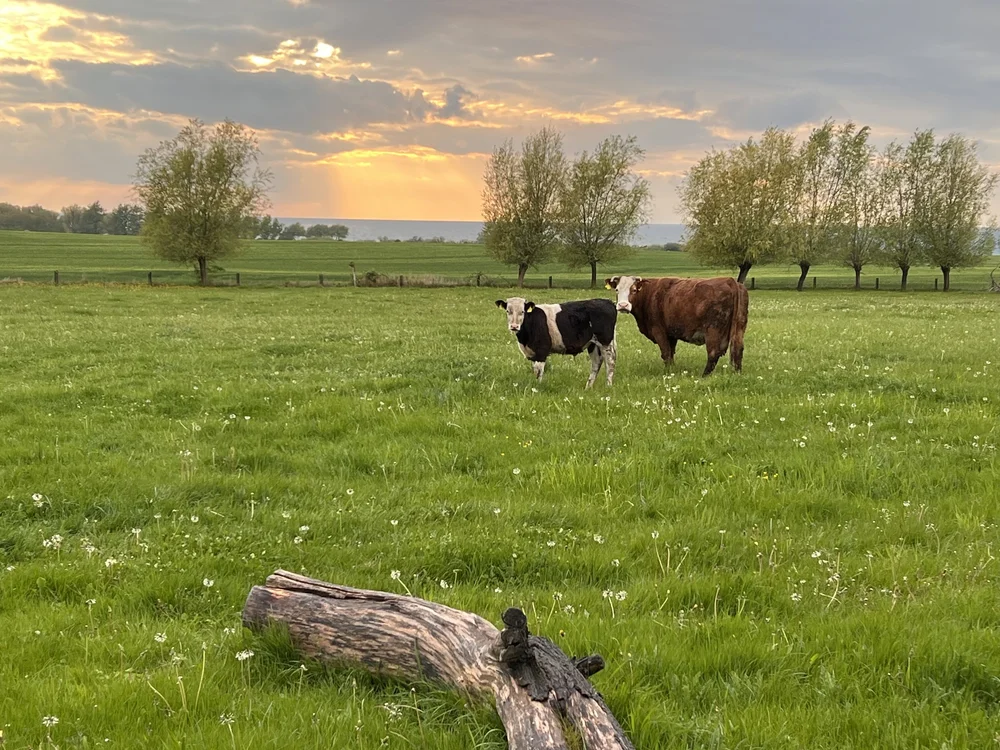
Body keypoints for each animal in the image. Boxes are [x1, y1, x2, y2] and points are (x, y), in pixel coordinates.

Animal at [605, 275, 748, 376]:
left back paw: (704, 376)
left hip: (713, 330)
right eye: (617, 290)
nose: (623, 305)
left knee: (713, 353)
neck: (649, 294)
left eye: (634, 290)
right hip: (739, 328)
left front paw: (668, 373)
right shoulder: (671, 334)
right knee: (738, 349)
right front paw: (672, 369)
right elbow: (671, 352)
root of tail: (730, 280)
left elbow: (666, 353)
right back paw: (737, 373)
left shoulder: (659, 330)